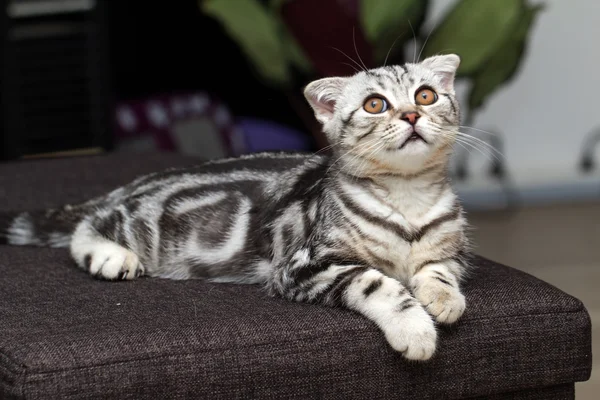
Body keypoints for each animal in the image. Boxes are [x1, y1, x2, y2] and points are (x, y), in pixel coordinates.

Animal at [0, 52, 468, 360]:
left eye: (426, 96)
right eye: (375, 104)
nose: (411, 115)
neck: (408, 196)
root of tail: (139, 181)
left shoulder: (453, 249)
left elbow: (440, 268)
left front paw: (444, 298)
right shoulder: (304, 264)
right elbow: (377, 283)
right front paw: (416, 329)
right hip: (139, 225)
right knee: (87, 223)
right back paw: (111, 256)